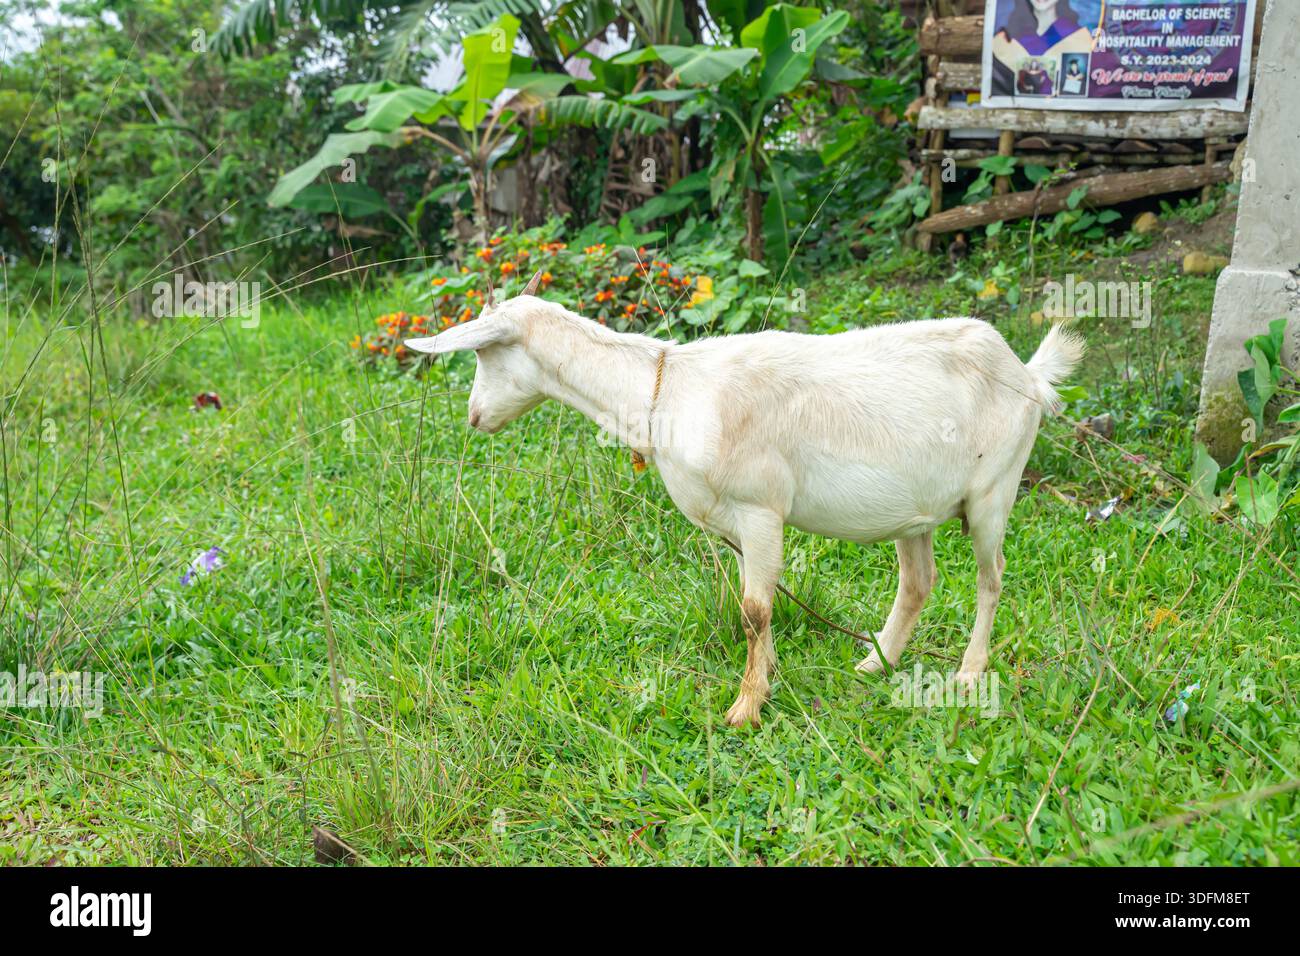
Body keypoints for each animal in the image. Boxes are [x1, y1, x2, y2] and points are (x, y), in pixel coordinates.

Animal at [407, 269, 1084, 728]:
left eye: (482, 352)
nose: (474, 417)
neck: (667, 389)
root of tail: (1027, 372)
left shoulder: (761, 509)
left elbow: (755, 610)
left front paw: (746, 707)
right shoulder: (733, 521)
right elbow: (754, 604)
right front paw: (768, 679)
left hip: (995, 490)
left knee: (991, 578)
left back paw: (969, 674)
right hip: (914, 510)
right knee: (919, 581)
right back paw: (877, 664)